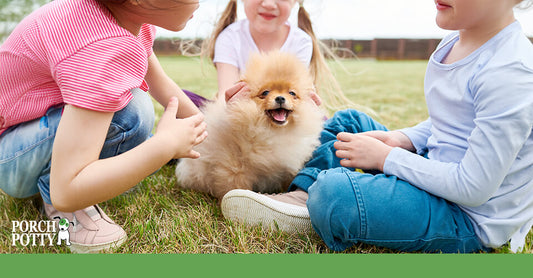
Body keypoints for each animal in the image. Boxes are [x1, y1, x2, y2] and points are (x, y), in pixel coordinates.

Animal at [176, 51, 324, 199]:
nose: (280, 98)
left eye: (292, 93)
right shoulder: (234, 164)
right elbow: (234, 185)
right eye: (265, 93)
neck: (270, 131)